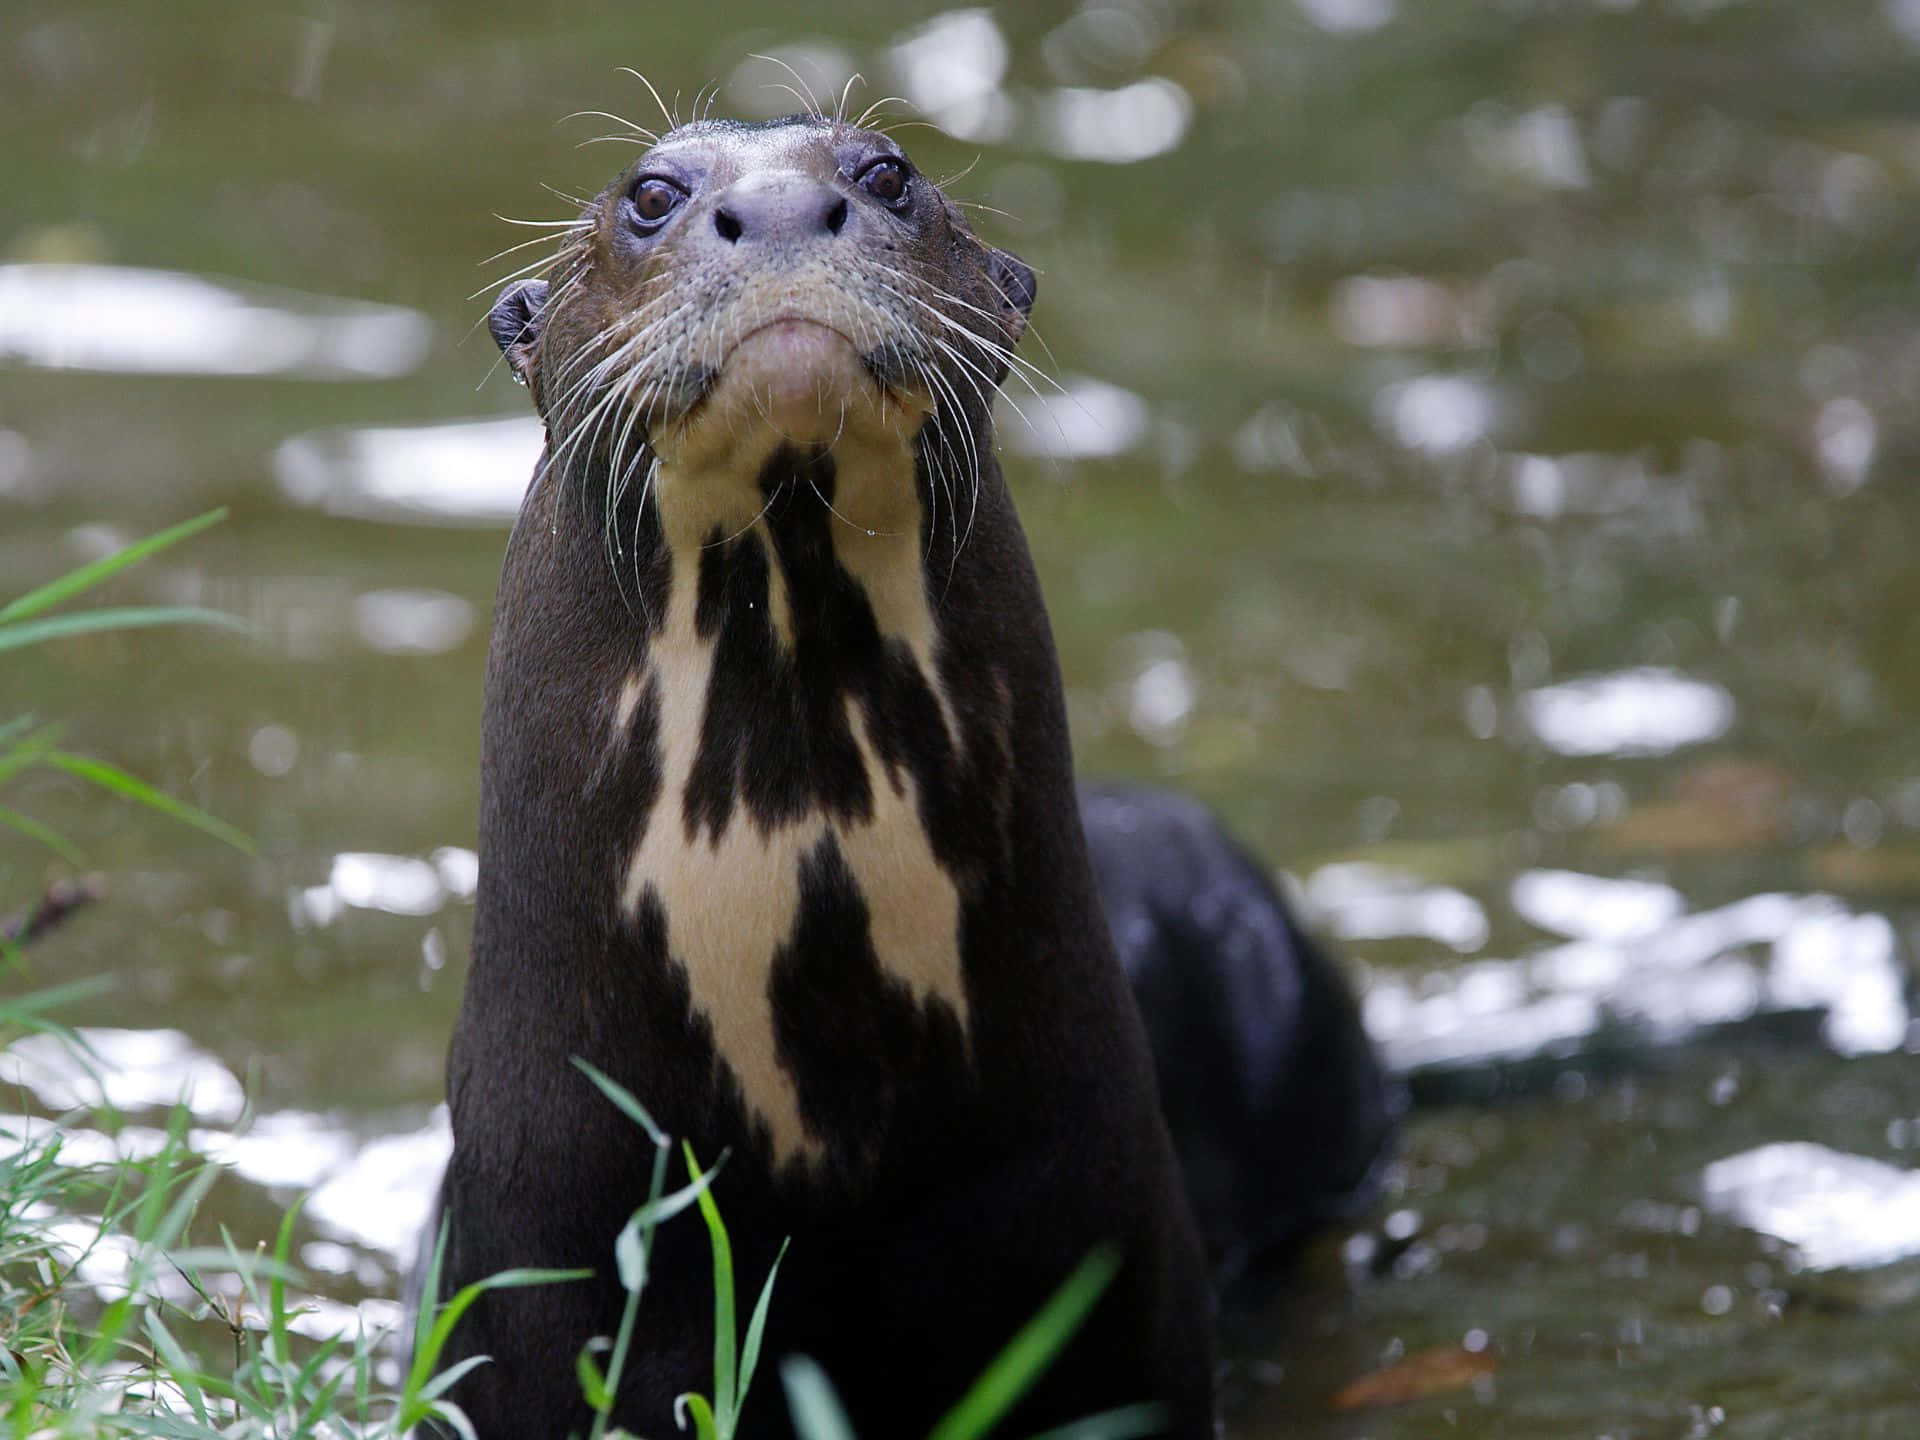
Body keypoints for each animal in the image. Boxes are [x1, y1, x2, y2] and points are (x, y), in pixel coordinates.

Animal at [433, 107, 1390, 1436]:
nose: (784, 209)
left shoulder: (1085, 1227)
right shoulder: (551, 1257)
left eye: (886, 172)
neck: (820, 1129)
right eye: (653, 193)